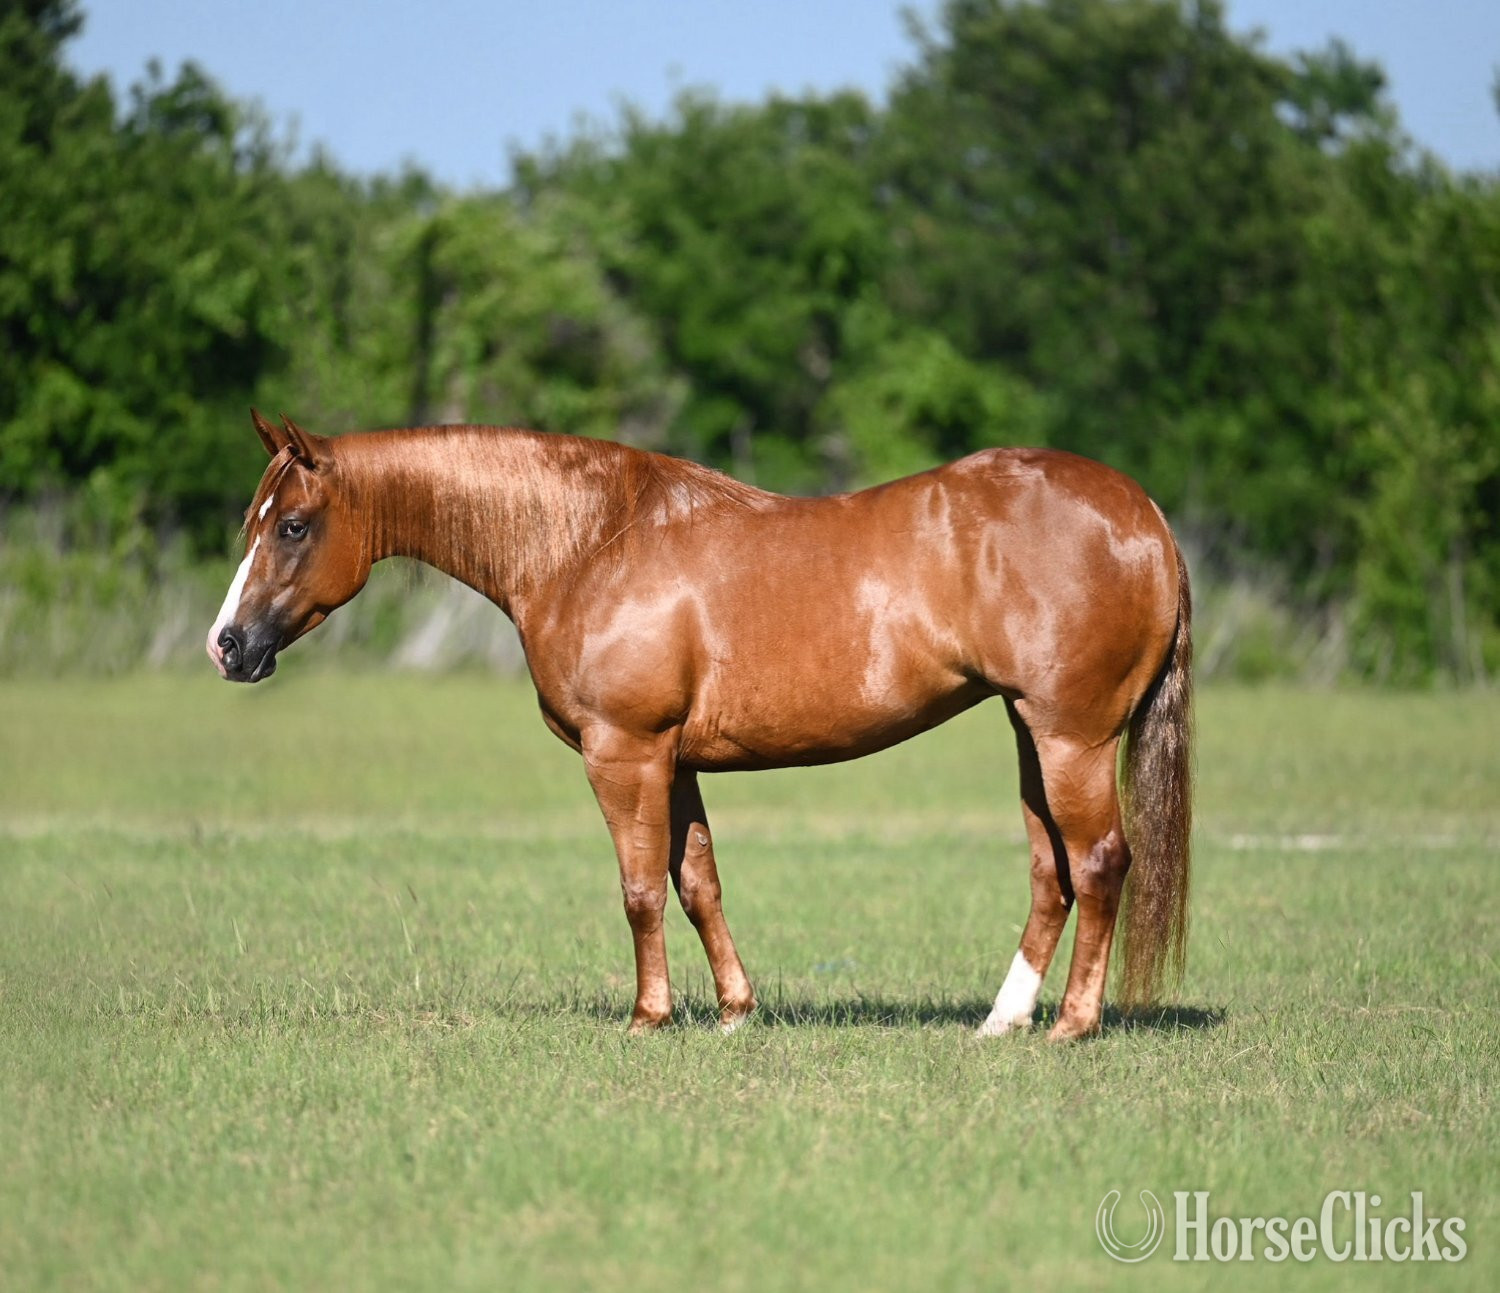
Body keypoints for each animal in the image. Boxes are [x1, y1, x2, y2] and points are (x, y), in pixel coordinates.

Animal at [209, 411, 1192, 1040]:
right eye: (254, 519)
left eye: (292, 525)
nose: (228, 646)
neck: (589, 542)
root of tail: (1144, 514)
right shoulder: (674, 762)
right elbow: (698, 884)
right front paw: (733, 1011)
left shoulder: (624, 752)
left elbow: (641, 888)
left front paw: (649, 1017)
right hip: (1032, 734)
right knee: (1051, 872)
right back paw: (1001, 1020)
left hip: (1071, 738)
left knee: (1101, 861)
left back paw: (1072, 1026)